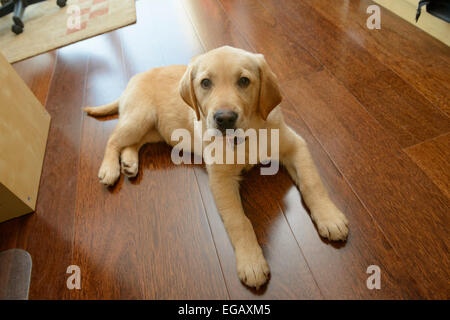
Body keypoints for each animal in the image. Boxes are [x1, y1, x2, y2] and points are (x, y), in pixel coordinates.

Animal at [84, 46, 348, 288]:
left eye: (244, 81)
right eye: (205, 83)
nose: (224, 118)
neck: (246, 136)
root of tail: (133, 80)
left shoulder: (295, 145)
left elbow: (312, 183)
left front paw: (330, 218)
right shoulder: (221, 178)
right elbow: (238, 221)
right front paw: (251, 262)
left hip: (155, 130)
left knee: (132, 143)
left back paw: (129, 162)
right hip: (140, 116)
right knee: (114, 139)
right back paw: (110, 169)